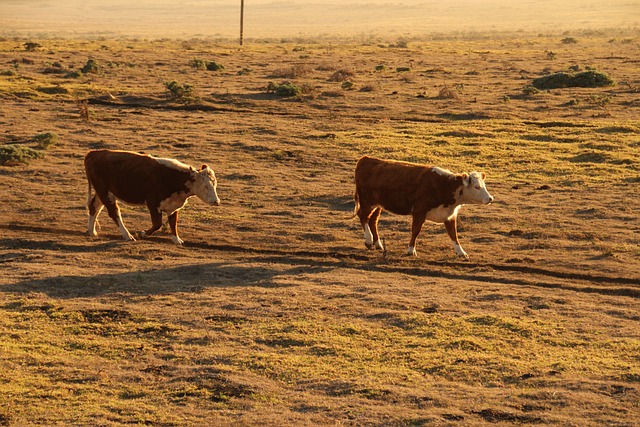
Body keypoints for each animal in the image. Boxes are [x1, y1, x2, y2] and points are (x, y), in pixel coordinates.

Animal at [85, 150, 220, 244]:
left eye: (214, 184)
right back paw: (128, 235)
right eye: (206, 186)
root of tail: (94, 153)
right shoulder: (153, 203)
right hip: (105, 193)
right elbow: (157, 224)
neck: (174, 178)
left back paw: (92, 231)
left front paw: (177, 240)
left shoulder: (174, 206)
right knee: (114, 212)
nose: (216, 201)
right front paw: (142, 234)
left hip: (102, 193)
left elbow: (173, 223)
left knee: (94, 207)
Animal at [352, 155, 492, 260]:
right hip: (367, 201)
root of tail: (366, 159)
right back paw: (369, 240)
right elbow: (415, 231)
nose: (490, 198)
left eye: (483, 185)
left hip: (378, 205)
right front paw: (411, 250)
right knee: (363, 216)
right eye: (476, 187)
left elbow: (453, 234)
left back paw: (378, 244)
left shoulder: (449, 215)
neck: (445, 186)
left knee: (373, 220)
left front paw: (461, 252)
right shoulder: (419, 212)